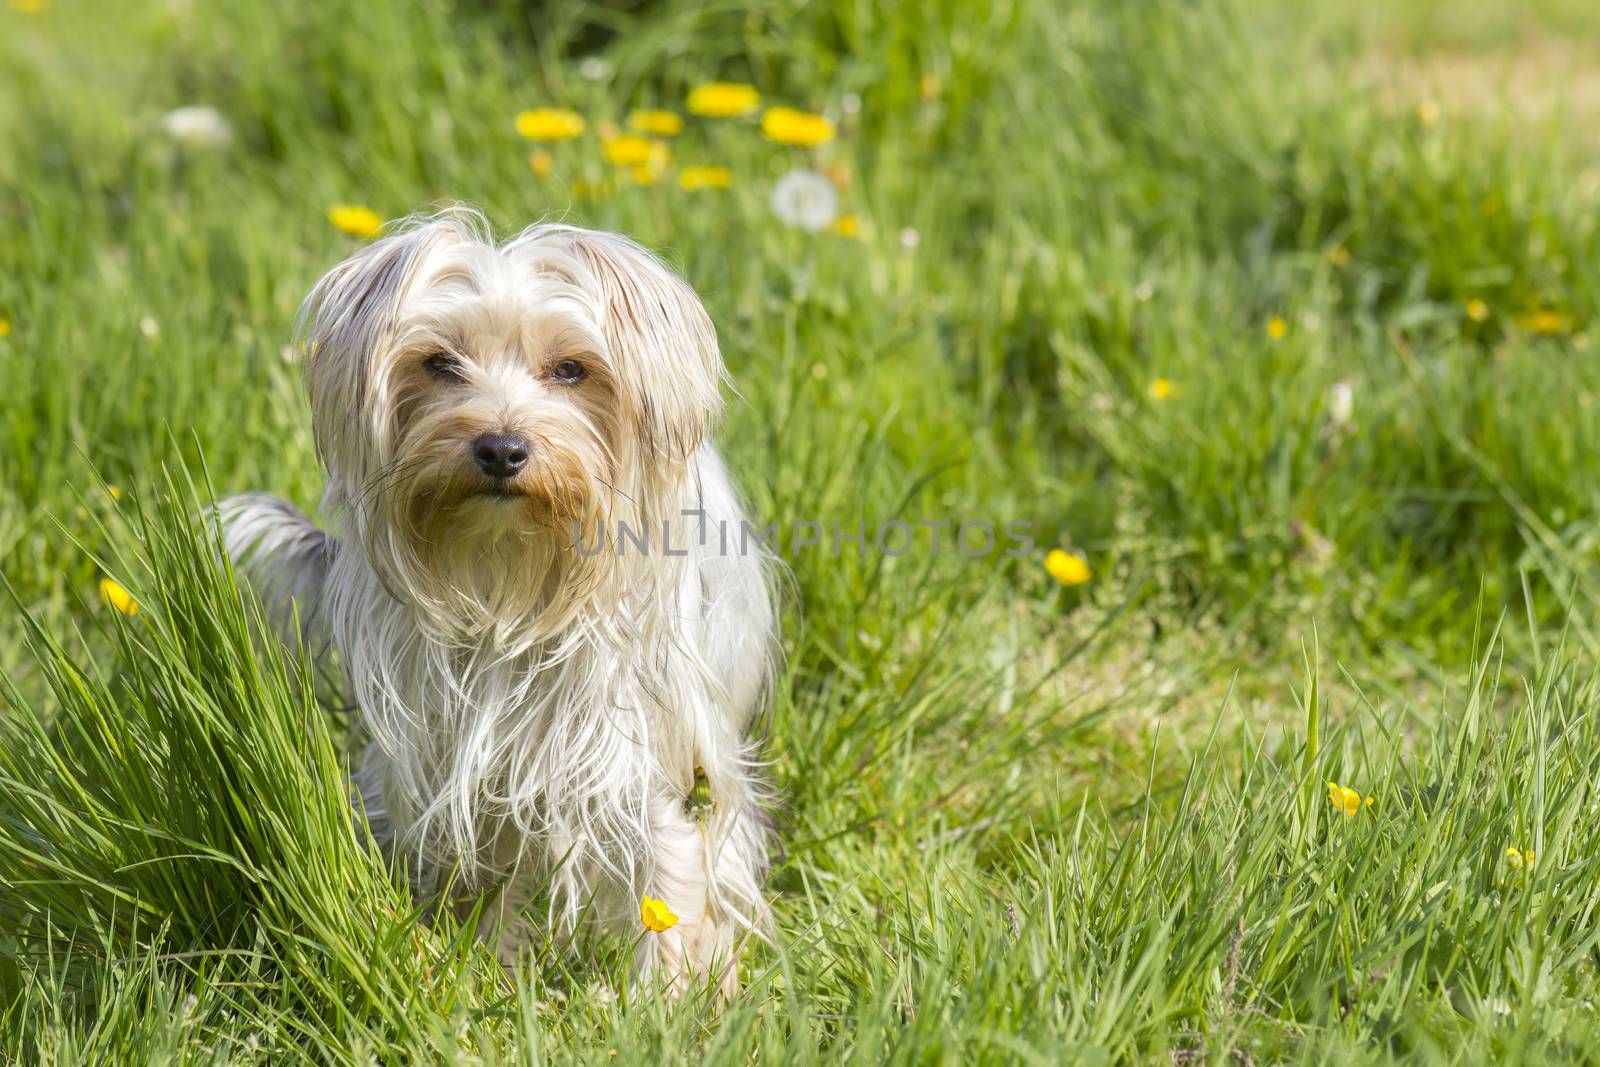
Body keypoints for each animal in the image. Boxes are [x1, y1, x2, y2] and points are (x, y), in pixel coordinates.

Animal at [224, 207, 774, 991]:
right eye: (440, 363)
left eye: (571, 368)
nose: (502, 448)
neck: (511, 573)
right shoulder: (455, 751)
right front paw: (482, 961)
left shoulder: (646, 749)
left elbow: (665, 877)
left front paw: (666, 998)